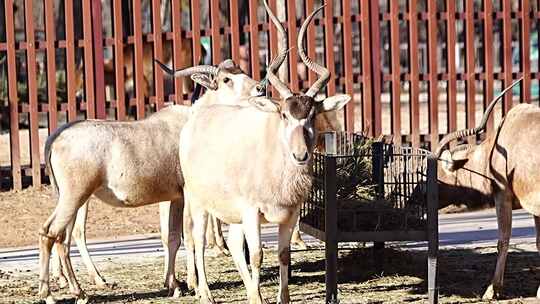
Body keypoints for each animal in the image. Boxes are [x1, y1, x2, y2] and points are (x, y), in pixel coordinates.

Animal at [35, 59, 266, 304]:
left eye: (241, 71)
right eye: (226, 79)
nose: (260, 88)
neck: (195, 121)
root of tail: (55, 139)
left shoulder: (173, 197)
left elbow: (171, 237)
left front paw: (173, 285)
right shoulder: (188, 193)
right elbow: (189, 237)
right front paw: (193, 285)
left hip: (72, 198)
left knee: (61, 237)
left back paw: (75, 291)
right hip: (75, 196)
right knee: (51, 233)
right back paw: (56, 294)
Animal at [178, 1, 350, 302]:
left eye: (313, 114)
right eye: (283, 114)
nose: (300, 155)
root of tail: (198, 116)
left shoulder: (289, 215)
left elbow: (283, 255)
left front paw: (280, 297)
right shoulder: (251, 212)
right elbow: (257, 255)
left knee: (235, 244)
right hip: (199, 201)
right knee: (198, 240)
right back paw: (206, 293)